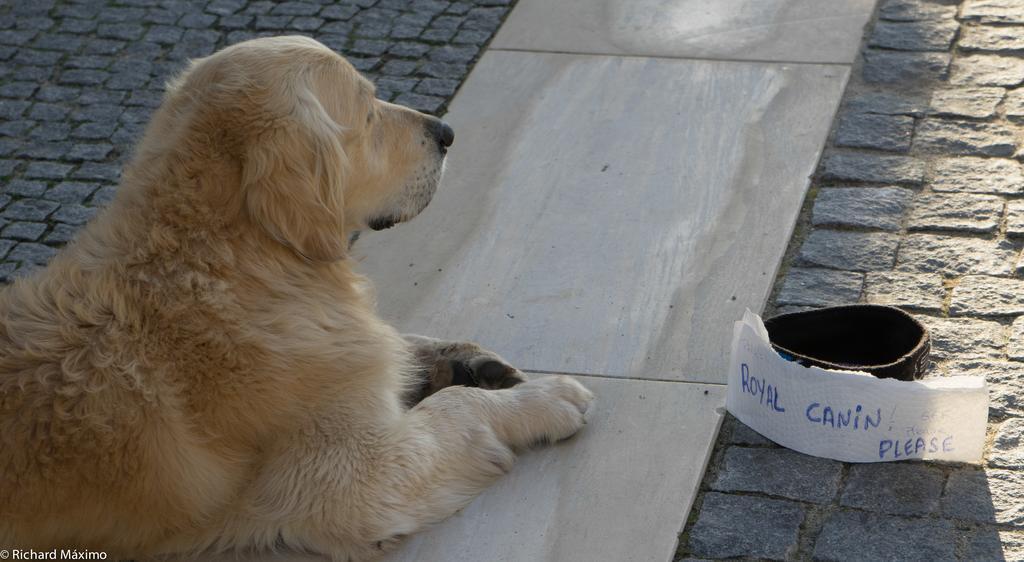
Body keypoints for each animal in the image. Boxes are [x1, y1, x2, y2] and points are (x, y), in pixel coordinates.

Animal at [0, 37, 593, 556]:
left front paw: (464, 362)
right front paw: (543, 398)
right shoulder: (355, 480)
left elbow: (396, 347)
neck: (235, 261)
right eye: (368, 113)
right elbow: (457, 408)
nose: (446, 131)